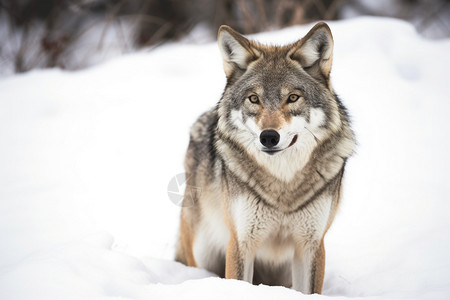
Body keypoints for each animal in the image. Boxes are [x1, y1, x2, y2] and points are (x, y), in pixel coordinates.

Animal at [176, 22, 356, 294]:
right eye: (254, 99)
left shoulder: (311, 244)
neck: (283, 185)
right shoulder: (241, 241)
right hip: (202, 253)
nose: (268, 137)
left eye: (293, 97)